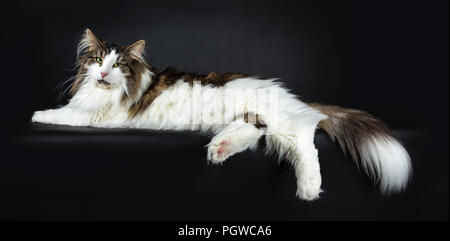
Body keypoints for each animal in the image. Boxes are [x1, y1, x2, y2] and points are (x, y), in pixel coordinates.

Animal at [31, 28, 412, 201]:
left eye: (119, 65)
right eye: (98, 60)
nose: (103, 73)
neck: (107, 90)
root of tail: (292, 98)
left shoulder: (99, 118)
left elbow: (64, 115)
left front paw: (37, 114)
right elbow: (67, 109)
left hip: (283, 125)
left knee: (307, 147)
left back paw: (308, 188)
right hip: (257, 122)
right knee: (255, 135)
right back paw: (219, 150)